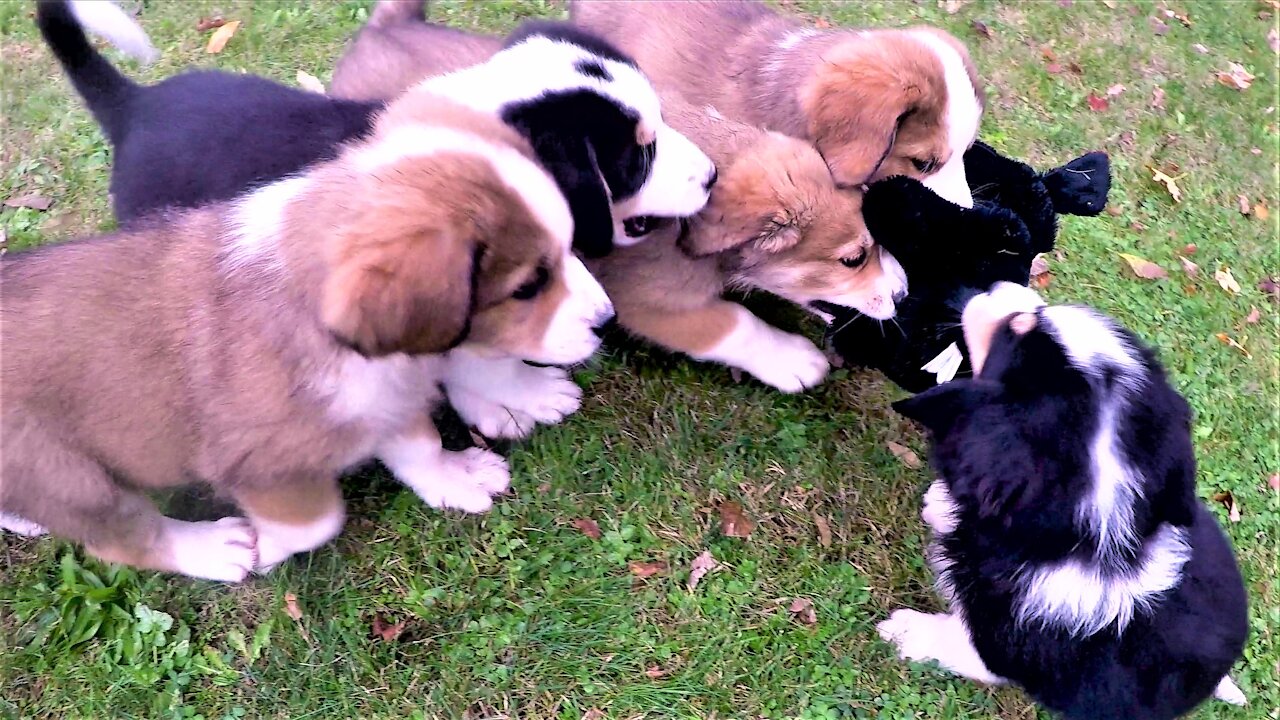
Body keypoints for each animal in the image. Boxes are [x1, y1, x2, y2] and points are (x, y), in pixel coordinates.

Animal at [0, 92, 611, 579]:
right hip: (66, 474)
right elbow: (317, 521)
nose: (606, 320)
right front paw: (264, 547)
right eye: (529, 286)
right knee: (123, 539)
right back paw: (211, 549)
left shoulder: (379, 399)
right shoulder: (264, 463)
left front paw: (455, 478)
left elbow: (419, 446)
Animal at [880, 281, 1249, 717]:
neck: (1080, 536)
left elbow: (958, 643)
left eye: (1016, 328)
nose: (1000, 285)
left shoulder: (1001, 649)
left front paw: (904, 631)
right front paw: (939, 505)